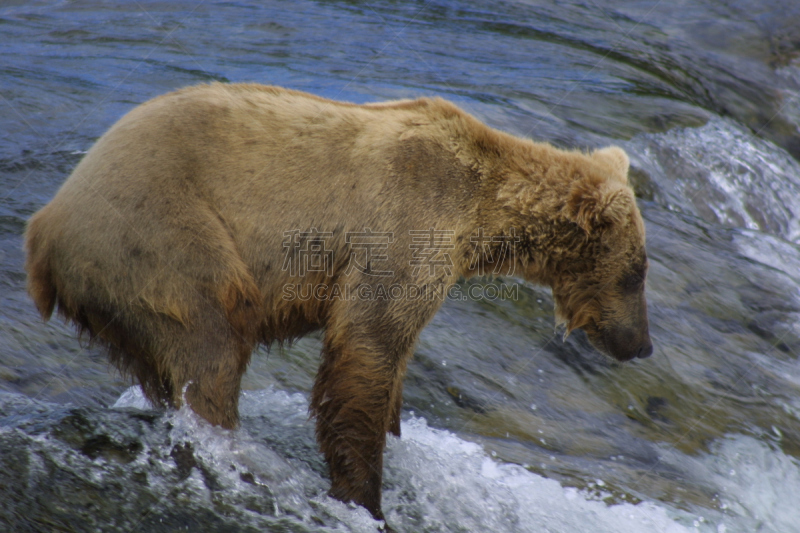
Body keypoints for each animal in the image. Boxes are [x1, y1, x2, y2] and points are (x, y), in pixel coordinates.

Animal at [25, 82, 648, 524]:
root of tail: (45, 226)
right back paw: (233, 461)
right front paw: (365, 497)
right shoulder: (405, 225)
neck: (480, 213)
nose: (640, 345)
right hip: (163, 236)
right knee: (212, 344)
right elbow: (365, 352)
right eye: (637, 273)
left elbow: (389, 366)